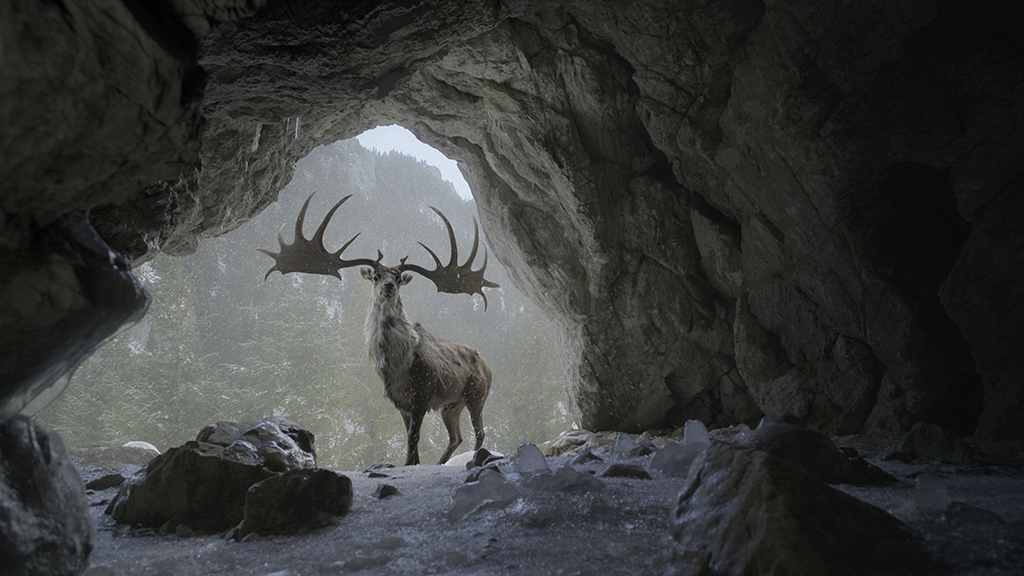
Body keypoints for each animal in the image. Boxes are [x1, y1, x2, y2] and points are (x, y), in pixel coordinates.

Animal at [258, 193, 498, 466]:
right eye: (376, 275)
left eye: (398, 276)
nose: (389, 285)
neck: (397, 364)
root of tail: (488, 366)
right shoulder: (400, 402)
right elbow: (410, 441)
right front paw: (411, 463)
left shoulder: (422, 394)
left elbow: (413, 439)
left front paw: (410, 463)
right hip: (451, 405)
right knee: (456, 437)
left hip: (477, 395)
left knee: (479, 432)